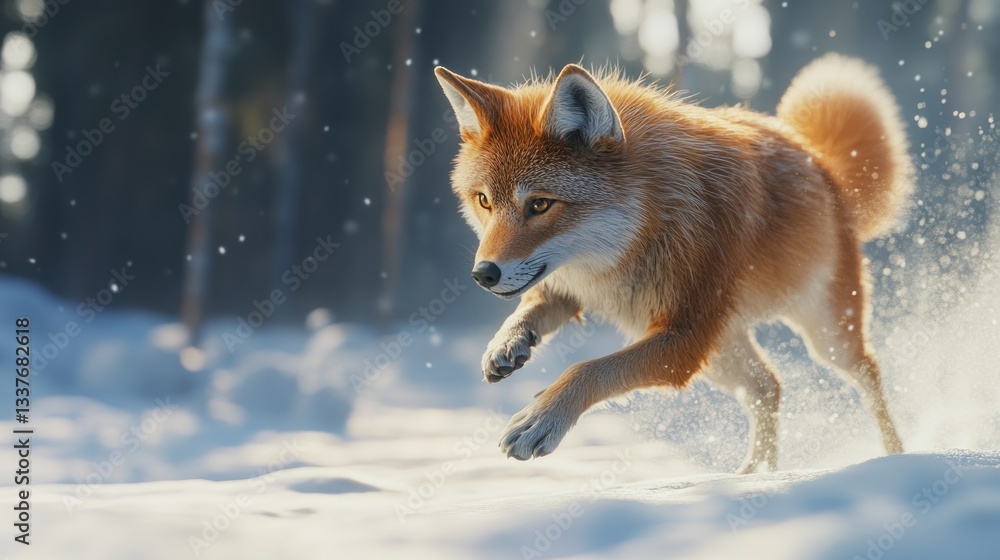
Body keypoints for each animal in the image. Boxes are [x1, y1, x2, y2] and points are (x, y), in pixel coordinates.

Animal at [434, 53, 911, 473]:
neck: (646, 227)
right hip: (722, 353)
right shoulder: (581, 293)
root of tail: (818, 157)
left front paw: (540, 419)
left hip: (822, 339)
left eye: (539, 204)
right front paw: (506, 344)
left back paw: (895, 457)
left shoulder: (682, 339)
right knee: (768, 386)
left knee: (867, 375)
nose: (483, 274)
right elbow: (530, 310)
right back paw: (755, 476)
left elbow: (587, 369)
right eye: (484, 201)